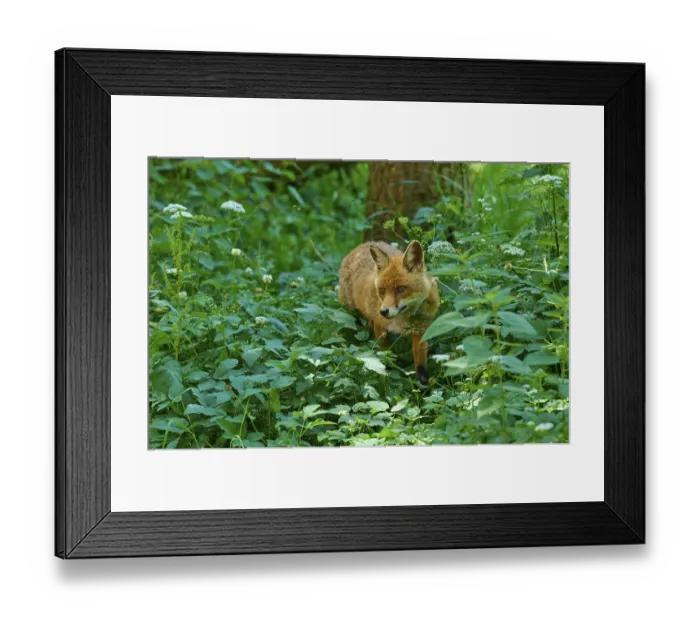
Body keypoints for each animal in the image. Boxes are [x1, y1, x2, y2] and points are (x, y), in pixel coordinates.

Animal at [338, 240, 440, 385]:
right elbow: (383, 355)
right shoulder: (380, 327)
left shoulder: (421, 329)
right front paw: (385, 377)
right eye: (382, 290)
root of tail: (362, 245)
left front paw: (422, 385)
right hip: (351, 314)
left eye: (401, 289)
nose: (383, 311)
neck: (402, 320)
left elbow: (420, 363)